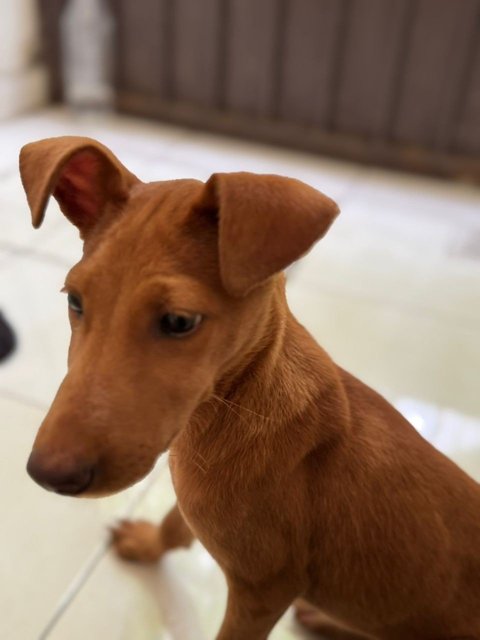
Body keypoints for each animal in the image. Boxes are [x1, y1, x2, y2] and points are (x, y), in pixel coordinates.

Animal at [21, 139, 480, 640]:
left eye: (179, 321)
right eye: (74, 300)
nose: (47, 475)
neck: (230, 407)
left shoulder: (263, 590)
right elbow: (174, 523)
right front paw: (149, 543)